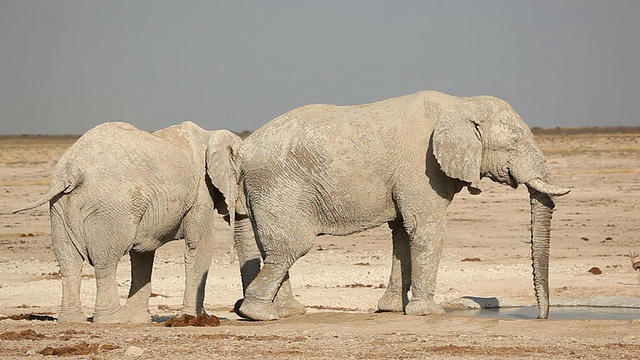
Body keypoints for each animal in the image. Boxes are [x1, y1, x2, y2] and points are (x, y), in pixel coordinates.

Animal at [12, 121, 242, 324]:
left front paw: (138, 320)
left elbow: (142, 254)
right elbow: (200, 245)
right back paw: (112, 320)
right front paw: (199, 319)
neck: (211, 135)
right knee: (105, 261)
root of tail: (71, 170)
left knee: (69, 261)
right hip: (110, 207)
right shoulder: (201, 191)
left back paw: (72, 320)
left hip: (60, 206)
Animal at [232, 90, 572, 320]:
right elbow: (424, 228)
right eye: (513, 144)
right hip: (280, 185)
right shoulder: (422, 168)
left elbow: (402, 234)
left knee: (274, 249)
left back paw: (287, 312)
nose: (541, 317)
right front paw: (429, 312)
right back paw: (258, 314)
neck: (458, 103)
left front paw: (394, 309)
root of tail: (245, 149)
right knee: (291, 248)